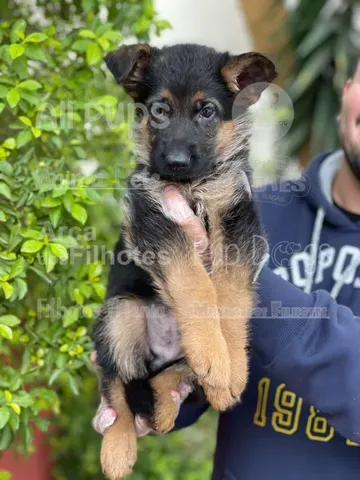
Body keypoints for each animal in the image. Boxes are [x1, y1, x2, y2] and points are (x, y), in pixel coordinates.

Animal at [93, 42, 276, 480]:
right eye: (159, 110)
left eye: (206, 111)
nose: (175, 161)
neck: (192, 186)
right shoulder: (153, 219)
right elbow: (194, 283)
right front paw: (214, 351)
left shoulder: (238, 218)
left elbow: (230, 295)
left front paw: (230, 364)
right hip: (119, 314)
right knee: (118, 385)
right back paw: (118, 447)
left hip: (169, 362)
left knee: (169, 377)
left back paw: (169, 403)